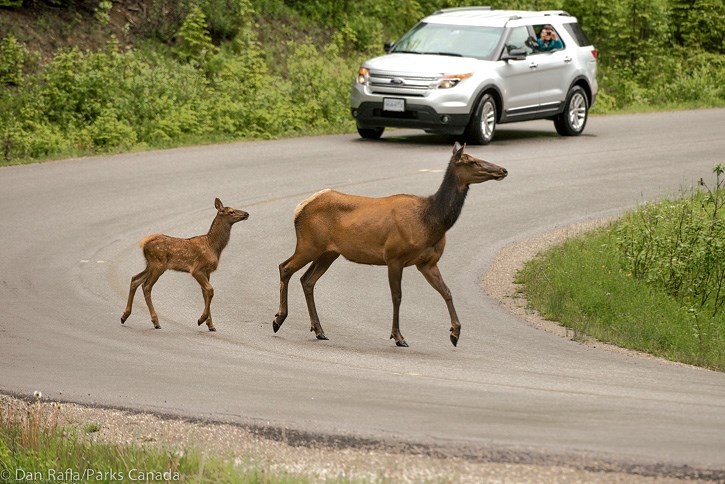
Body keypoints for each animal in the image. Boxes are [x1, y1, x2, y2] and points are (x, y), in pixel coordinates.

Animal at [121, 197, 249, 328]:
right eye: (231, 211)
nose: (246, 214)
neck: (213, 246)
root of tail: (144, 243)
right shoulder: (196, 269)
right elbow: (210, 290)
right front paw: (201, 319)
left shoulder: (207, 271)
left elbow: (205, 293)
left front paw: (210, 325)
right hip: (158, 264)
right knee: (146, 286)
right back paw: (155, 321)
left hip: (150, 264)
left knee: (135, 279)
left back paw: (124, 316)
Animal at [274, 142, 506, 346]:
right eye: (472, 161)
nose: (503, 169)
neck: (429, 222)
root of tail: (300, 208)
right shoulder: (394, 256)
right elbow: (397, 296)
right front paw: (399, 337)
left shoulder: (428, 262)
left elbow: (447, 292)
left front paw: (455, 333)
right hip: (309, 243)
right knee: (285, 267)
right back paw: (279, 319)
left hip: (328, 252)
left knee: (307, 280)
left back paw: (319, 330)